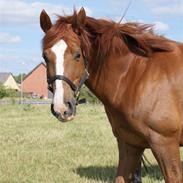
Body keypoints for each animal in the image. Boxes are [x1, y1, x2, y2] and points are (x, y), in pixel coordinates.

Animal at [39, 7, 182, 183]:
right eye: (45, 56)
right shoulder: (130, 144)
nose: (62, 108)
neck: (137, 76)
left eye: (78, 54)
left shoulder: (165, 145)